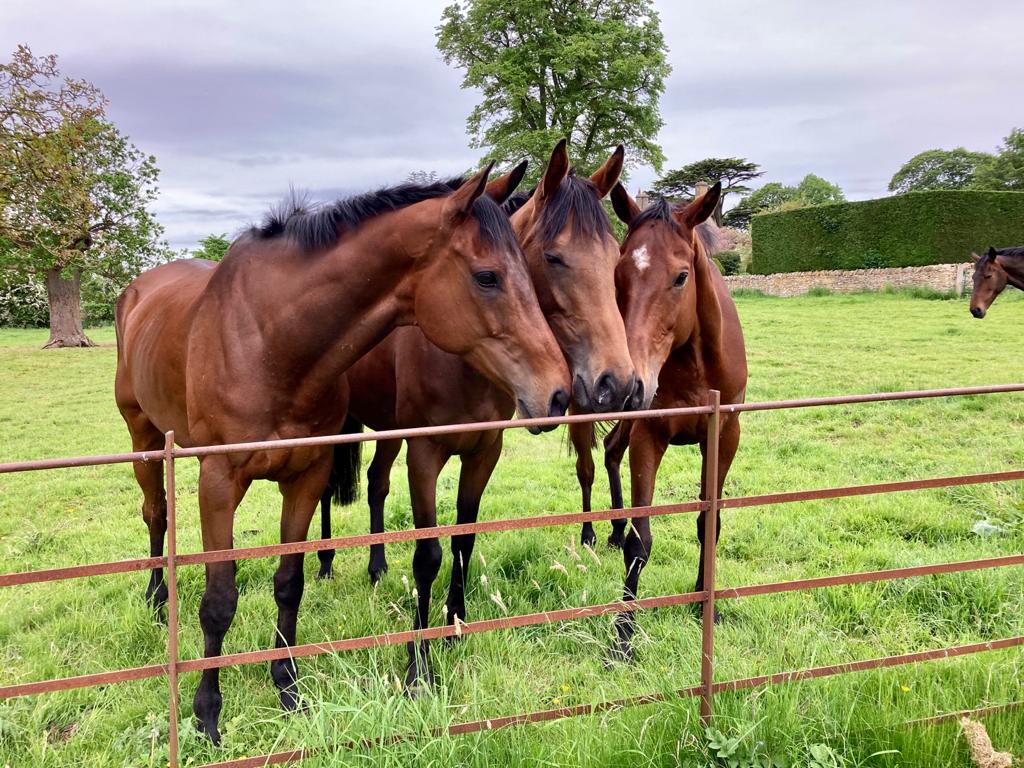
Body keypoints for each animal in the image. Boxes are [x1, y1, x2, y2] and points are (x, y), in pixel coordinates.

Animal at [117, 165, 577, 741]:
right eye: (487, 277)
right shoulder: (218, 483)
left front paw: (287, 686)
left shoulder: (306, 475)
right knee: (155, 513)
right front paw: (207, 714)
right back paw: (157, 598)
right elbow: (219, 600)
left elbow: (288, 584)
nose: (558, 393)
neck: (271, 341)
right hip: (143, 437)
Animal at [315, 141, 634, 688]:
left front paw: (455, 625)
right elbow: (428, 554)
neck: (464, 361)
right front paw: (418, 664)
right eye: (554, 257)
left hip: (389, 429)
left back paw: (376, 567)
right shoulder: (425, 454)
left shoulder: (484, 451)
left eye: (614, 257)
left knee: (376, 483)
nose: (615, 382)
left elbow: (464, 539)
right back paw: (324, 563)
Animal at [581, 185, 749, 663]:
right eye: (618, 275)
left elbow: (708, 522)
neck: (695, 364)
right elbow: (642, 541)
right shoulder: (649, 434)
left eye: (680, 277)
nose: (631, 382)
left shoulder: (723, 435)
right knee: (595, 462)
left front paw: (704, 601)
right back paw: (598, 531)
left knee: (610, 452)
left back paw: (613, 527)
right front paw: (622, 636)